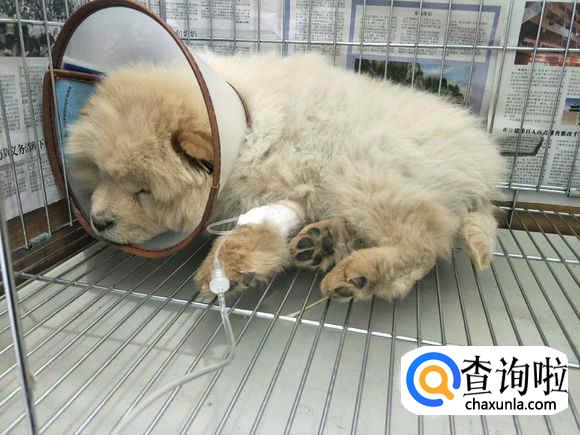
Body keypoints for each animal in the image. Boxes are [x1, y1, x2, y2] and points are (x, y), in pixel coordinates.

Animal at [67, 52, 504, 301]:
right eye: (100, 173)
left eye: (143, 191)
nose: (99, 222)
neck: (243, 124)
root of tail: (484, 164)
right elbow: (261, 229)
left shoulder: (284, 180)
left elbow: (245, 230)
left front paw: (224, 268)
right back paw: (321, 242)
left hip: (365, 173)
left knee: (424, 245)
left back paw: (356, 273)